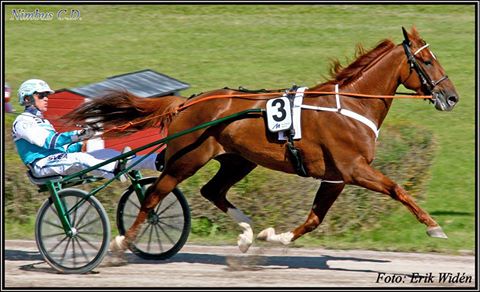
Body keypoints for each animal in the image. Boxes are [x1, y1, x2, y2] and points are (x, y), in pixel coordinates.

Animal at [64, 27, 458, 256]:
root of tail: (188, 101)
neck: (349, 105)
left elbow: (314, 218)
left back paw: (246, 233)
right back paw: (123, 241)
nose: (451, 97)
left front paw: (275, 237)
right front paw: (433, 226)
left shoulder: (336, 176)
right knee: (154, 195)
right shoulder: (354, 169)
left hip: (239, 159)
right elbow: (397, 189)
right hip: (185, 159)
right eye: (426, 60)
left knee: (212, 191)